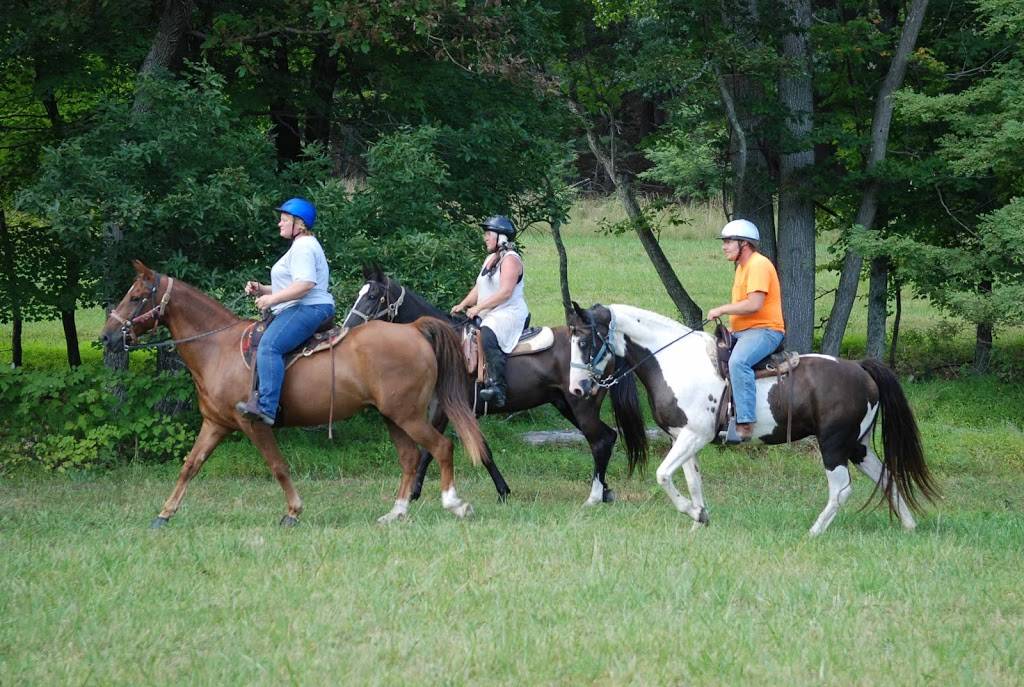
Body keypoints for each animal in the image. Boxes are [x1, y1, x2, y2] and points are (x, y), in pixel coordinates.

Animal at [99, 262, 491, 528]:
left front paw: (293, 511)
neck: (217, 347)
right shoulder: (215, 424)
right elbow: (190, 466)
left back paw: (454, 504)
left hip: (407, 414)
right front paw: (164, 514)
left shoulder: (252, 423)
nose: (106, 337)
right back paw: (395, 512)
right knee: (410, 458)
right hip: (392, 416)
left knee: (441, 447)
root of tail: (413, 329)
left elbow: (278, 466)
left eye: (136, 297)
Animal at [344, 268, 647, 505]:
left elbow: (433, 450)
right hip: (565, 404)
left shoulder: (447, 409)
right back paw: (605, 491)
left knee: (600, 441)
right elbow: (478, 450)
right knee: (607, 437)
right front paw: (502, 490)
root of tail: (608, 347)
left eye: (372, 296)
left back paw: (597, 494)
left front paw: (415, 493)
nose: (349, 327)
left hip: (582, 406)